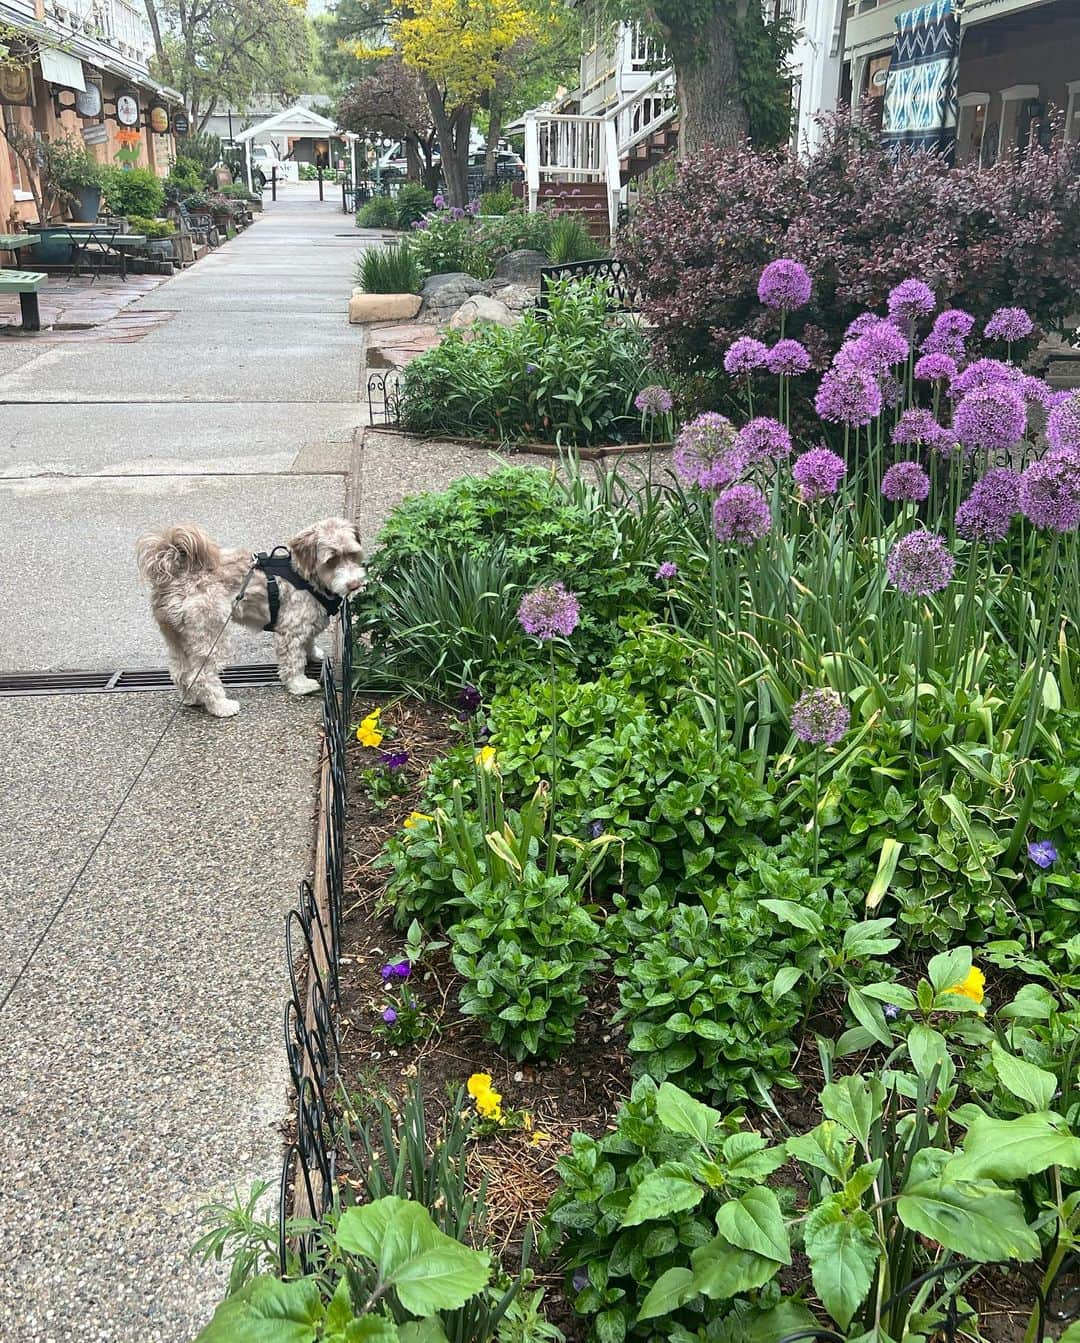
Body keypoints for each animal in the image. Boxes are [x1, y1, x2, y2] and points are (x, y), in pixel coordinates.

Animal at [133, 518, 362, 719]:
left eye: (353, 554)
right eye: (331, 561)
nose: (354, 584)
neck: (305, 577)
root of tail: (175, 575)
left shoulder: (307, 623)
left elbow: (310, 641)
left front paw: (314, 654)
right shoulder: (291, 631)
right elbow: (293, 662)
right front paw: (300, 685)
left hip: (178, 638)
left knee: (180, 672)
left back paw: (192, 699)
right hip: (211, 636)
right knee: (202, 676)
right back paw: (220, 706)